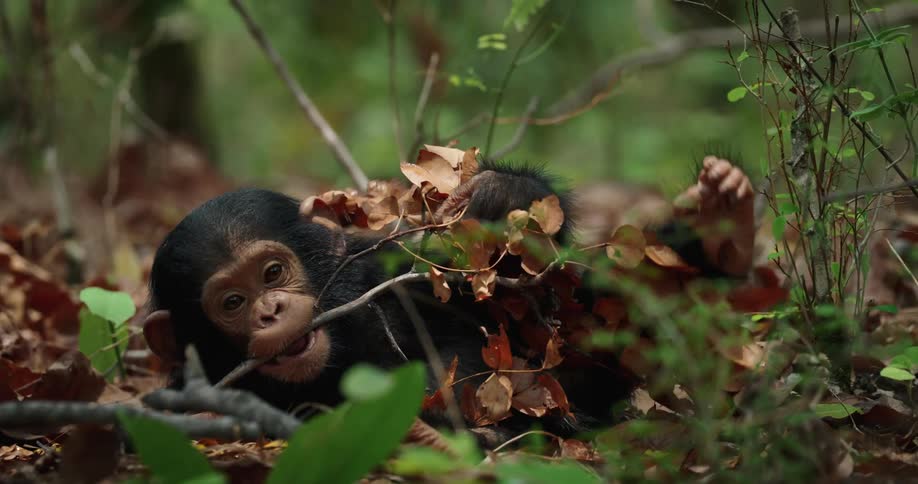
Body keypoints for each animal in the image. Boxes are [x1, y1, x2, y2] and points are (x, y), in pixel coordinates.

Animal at [143, 157, 754, 439]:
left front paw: (499, 195)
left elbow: (510, 294)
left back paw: (721, 228)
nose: (269, 310)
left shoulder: (384, 273)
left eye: (272, 273)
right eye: (232, 303)